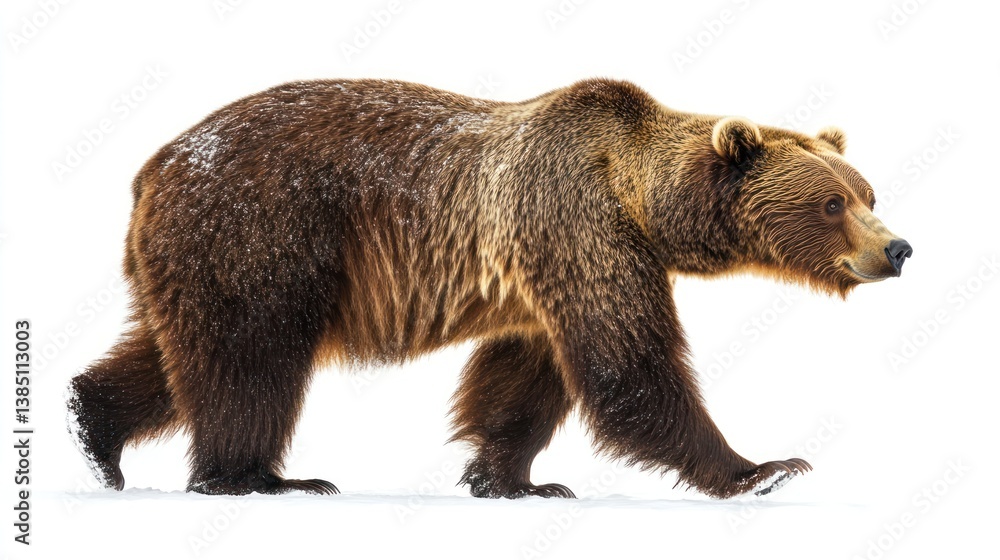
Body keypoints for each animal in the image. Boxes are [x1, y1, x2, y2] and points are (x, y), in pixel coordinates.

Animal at [66, 78, 912, 499]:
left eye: (868, 190)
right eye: (831, 204)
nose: (898, 248)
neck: (641, 201)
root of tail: (152, 169)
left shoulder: (539, 275)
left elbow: (523, 381)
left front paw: (509, 480)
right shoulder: (575, 221)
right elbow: (629, 366)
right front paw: (762, 468)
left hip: (206, 257)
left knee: (174, 356)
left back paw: (94, 433)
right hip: (263, 233)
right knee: (251, 361)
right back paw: (261, 478)